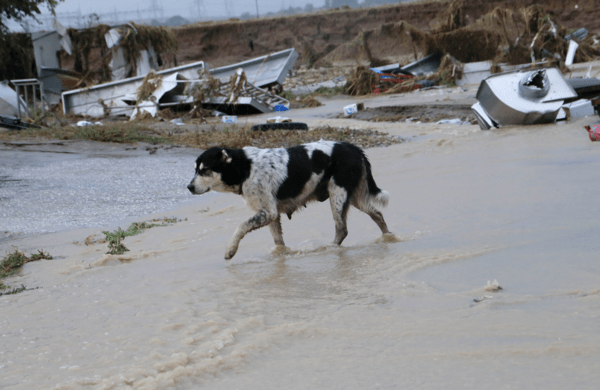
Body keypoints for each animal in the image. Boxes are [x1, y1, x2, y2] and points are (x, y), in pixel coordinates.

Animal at [189, 140, 394, 258]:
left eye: (205, 170)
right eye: (195, 170)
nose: (189, 187)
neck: (244, 167)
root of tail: (354, 148)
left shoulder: (268, 212)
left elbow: (240, 226)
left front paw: (230, 250)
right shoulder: (270, 214)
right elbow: (278, 240)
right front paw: (281, 255)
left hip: (338, 195)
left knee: (342, 229)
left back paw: (330, 248)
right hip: (355, 197)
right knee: (378, 214)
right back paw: (388, 237)